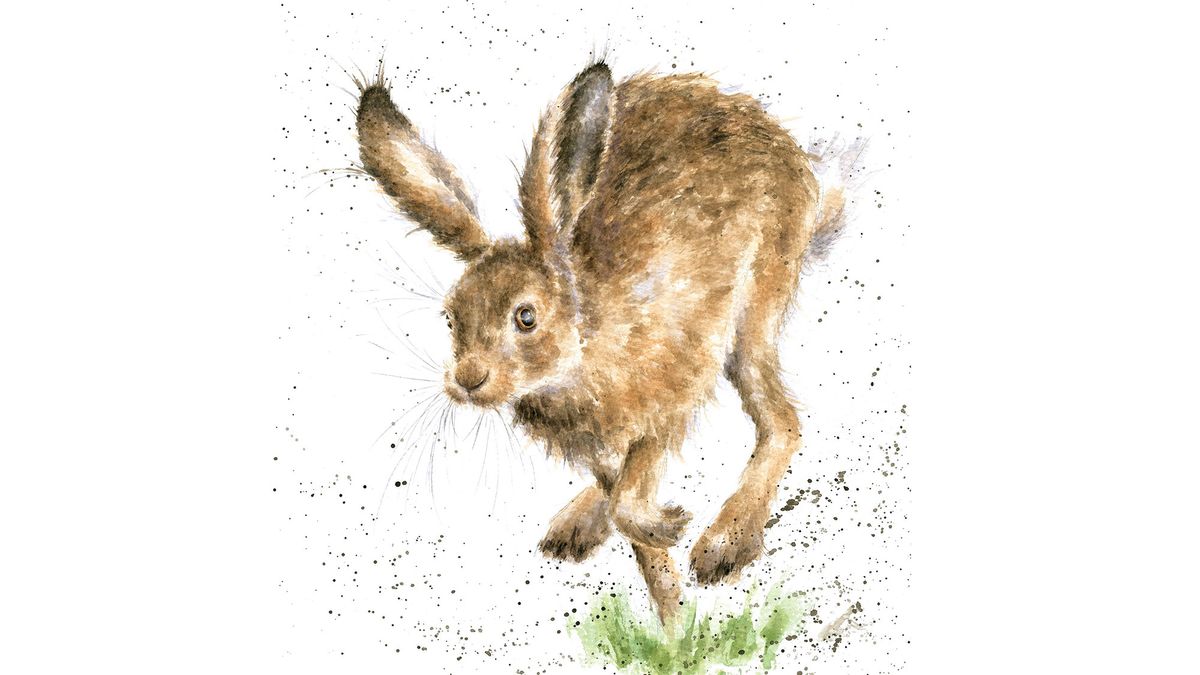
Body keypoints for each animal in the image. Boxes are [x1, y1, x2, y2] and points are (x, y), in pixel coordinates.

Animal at [353, 60, 857, 623]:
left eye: (525, 317)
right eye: (449, 317)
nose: (467, 380)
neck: (583, 341)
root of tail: (795, 159)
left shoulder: (672, 390)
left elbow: (631, 497)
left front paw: (671, 546)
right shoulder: (596, 444)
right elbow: (620, 503)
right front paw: (668, 598)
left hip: (755, 308)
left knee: (782, 423)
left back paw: (723, 545)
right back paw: (575, 529)